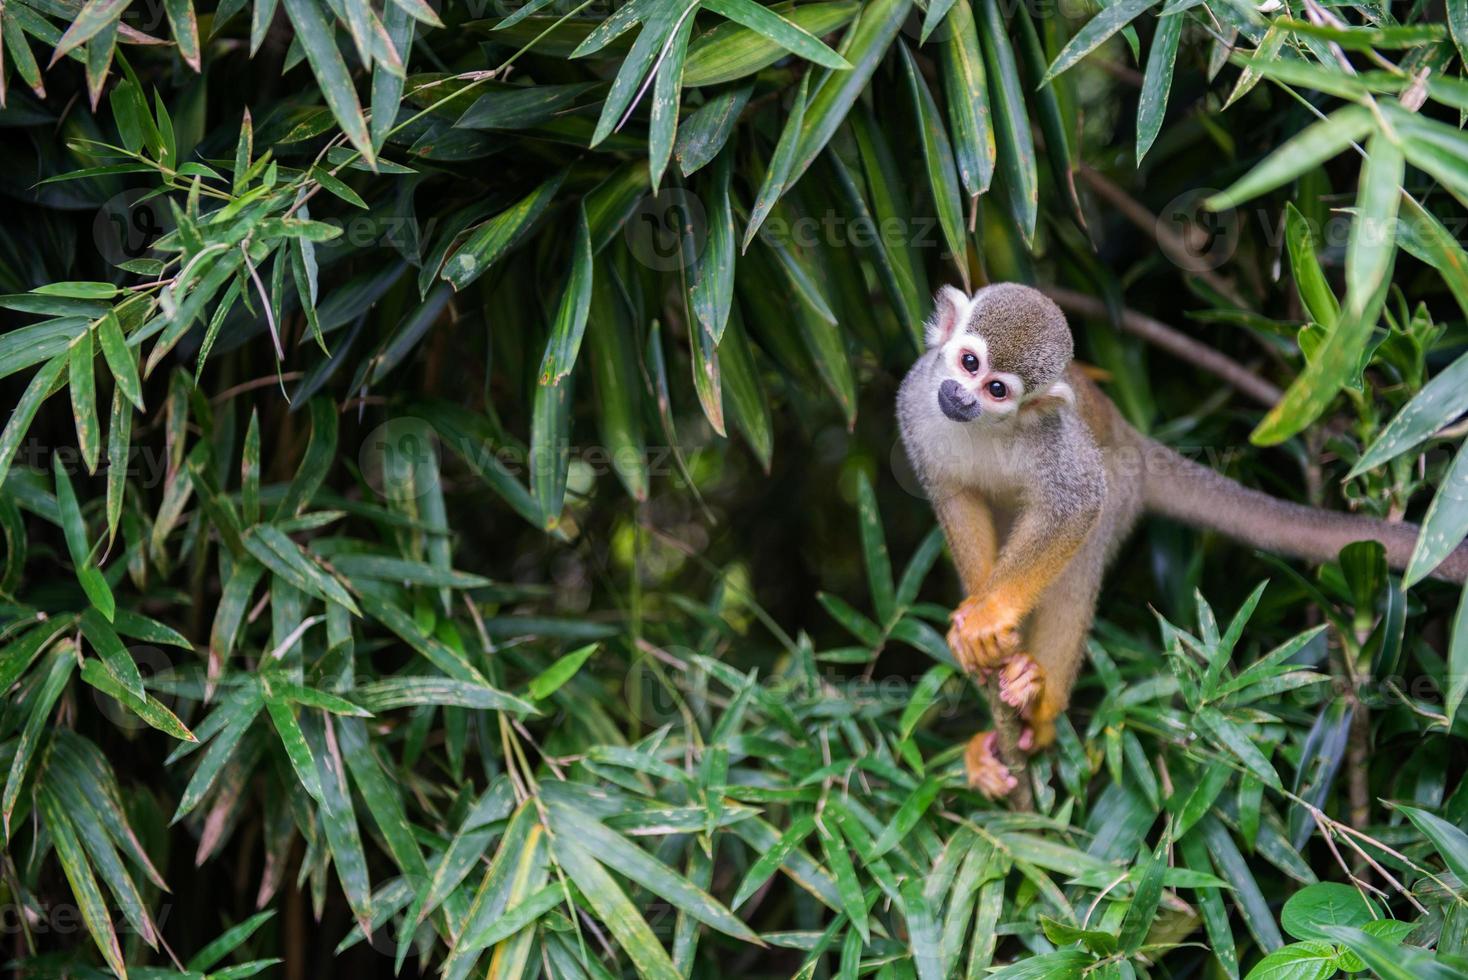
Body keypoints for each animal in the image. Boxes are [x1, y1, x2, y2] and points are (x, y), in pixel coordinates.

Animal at [892, 281, 1468, 798]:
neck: (983, 429)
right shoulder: (915, 401)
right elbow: (954, 497)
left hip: (1120, 487)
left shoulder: (1052, 437)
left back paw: (1039, 703)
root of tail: (1131, 437)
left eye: (997, 389)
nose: (961, 396)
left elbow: (1076, 503)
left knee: (1080, 560)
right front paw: (974, 624)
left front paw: (991, 615)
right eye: (968, 363)